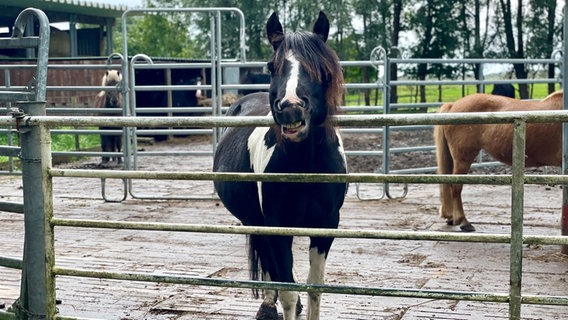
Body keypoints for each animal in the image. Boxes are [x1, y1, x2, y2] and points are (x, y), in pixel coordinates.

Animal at [212, 11, 346, 318]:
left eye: (320, 67)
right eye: (272, 66)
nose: (291, 107)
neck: (306, 166)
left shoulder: (326, 225)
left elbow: (314, 288)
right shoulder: (276, 224)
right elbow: (287, 289)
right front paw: (281, 302)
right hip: (255, 222)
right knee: (268, 262)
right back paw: (267, 304)